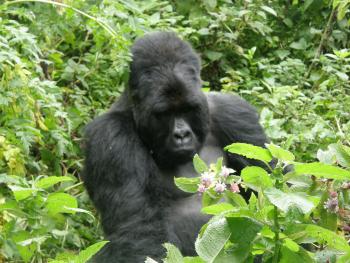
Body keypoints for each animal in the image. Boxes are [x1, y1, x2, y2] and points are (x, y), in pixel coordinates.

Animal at [82, 32, 268, 262]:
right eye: (165, 114)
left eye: (188, 109)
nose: (181, 135)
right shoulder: (110, 138)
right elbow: (138, 229)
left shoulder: (235, 113)